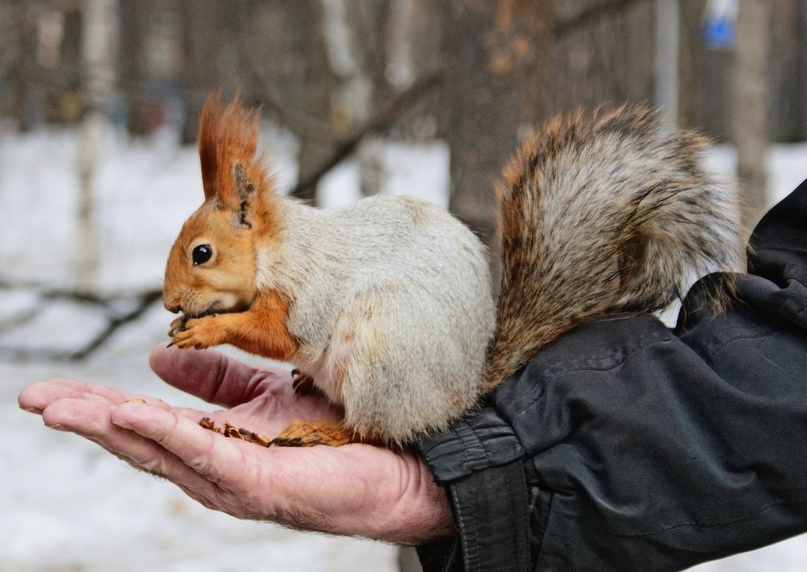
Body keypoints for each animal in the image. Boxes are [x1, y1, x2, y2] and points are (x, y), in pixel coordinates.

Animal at [163, 95, 744, 446]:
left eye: (201, 253)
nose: (169, 302)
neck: (277, 251)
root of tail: (461, 391)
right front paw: (184, 324)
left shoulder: (308, 291)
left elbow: (277, 334)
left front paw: (205, 331)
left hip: (384, 352)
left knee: (374, 433)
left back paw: (323, 431)